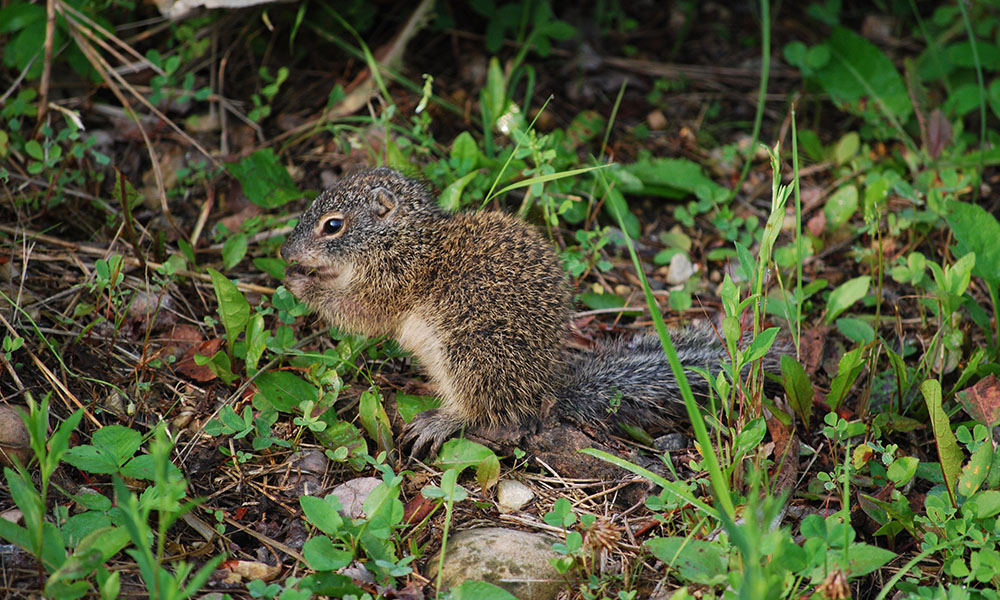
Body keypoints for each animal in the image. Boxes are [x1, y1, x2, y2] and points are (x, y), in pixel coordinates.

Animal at [282, 168, 780, 454]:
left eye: (332, 226)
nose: (286, 250)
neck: (404, 237)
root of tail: (545, 391)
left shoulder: (391, 280)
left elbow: (359, 312)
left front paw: (301, 282)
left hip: (471, 351)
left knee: (480, 409)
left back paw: (441, 420)